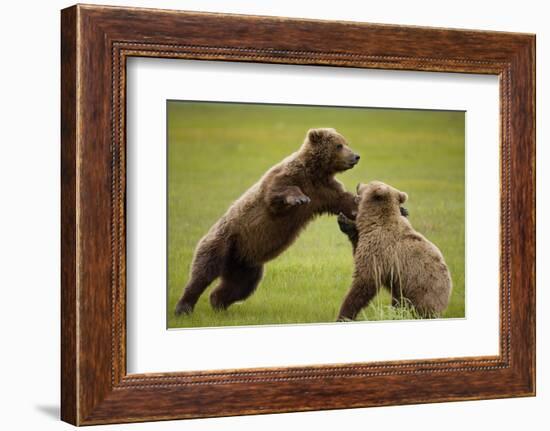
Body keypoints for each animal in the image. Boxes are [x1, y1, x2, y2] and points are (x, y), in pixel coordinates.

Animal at [175, 126, 360, 316]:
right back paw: (184, 307)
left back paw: (218, 304)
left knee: (240, 285)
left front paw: (358, 204)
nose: (356, 156)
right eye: (339, 145)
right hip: (223, 241)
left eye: (346, 142)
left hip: (245, 263)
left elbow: (345, 200)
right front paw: (299, 198)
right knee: (203, 272)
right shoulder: (289, 178)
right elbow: (276, 193)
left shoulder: (324, 191)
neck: (315, 172)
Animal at [338, 180, 454, 320]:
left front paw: (344, 314)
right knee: (399, 304)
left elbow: (365, 281)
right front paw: (345, 221)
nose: (359, 183)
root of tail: (449, 290)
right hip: (403, 290)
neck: (374, 221)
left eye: (371, 182)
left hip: (423, 290)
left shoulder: (379, 249)